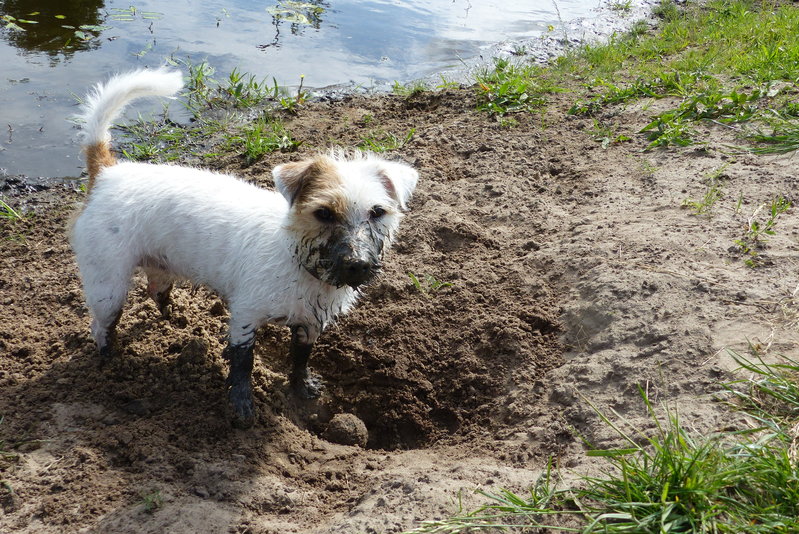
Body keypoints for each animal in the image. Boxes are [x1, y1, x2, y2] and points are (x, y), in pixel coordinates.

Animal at [72, 69, 418, 430]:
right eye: (323, 213)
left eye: (377, 212)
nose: (358, 265)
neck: (298, 260)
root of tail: (107, 173)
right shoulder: (245, 317)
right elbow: (243, 365)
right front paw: (242, 407)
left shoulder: (310, 324)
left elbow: (299, 359)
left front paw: (302, 386)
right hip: (107, 286)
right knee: (102, 326)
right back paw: (111, 361)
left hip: (160, 267)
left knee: (156, 291)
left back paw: (174, 320)